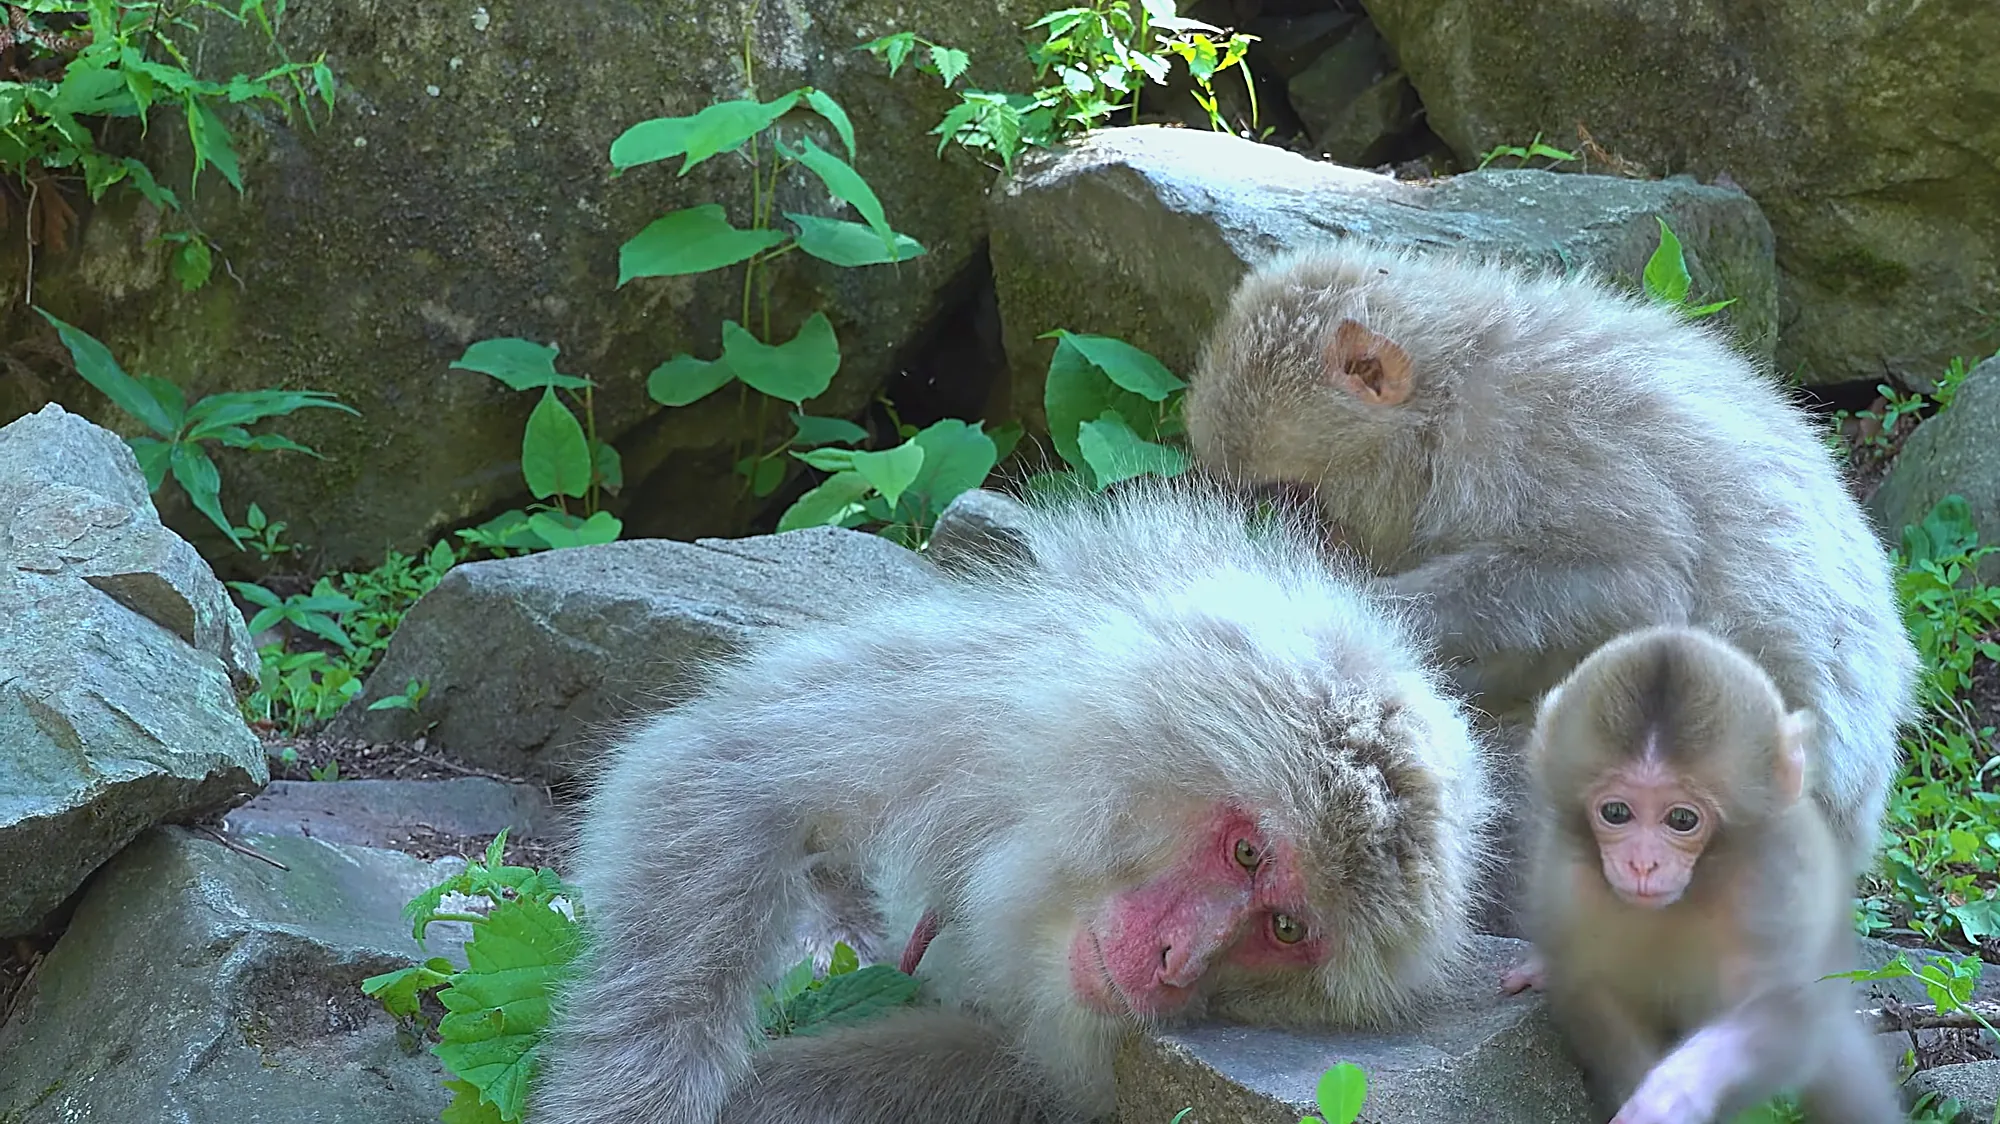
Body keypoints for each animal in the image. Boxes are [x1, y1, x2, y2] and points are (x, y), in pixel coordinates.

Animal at [1183, 238, 1919, 878]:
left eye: (1295, 499)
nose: (1309, 545)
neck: (1447, 395)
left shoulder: (1535, 434)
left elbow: (1639, 582)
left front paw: (1362, 607)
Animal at [1506, 626, 1903, 1124]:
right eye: (1616, 813)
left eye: (1682, 820)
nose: (1642, 863)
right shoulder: (1566, 885)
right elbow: (1592, 993)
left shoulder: (1777, 885)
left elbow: (1789, 1016)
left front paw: (1673, 1091)